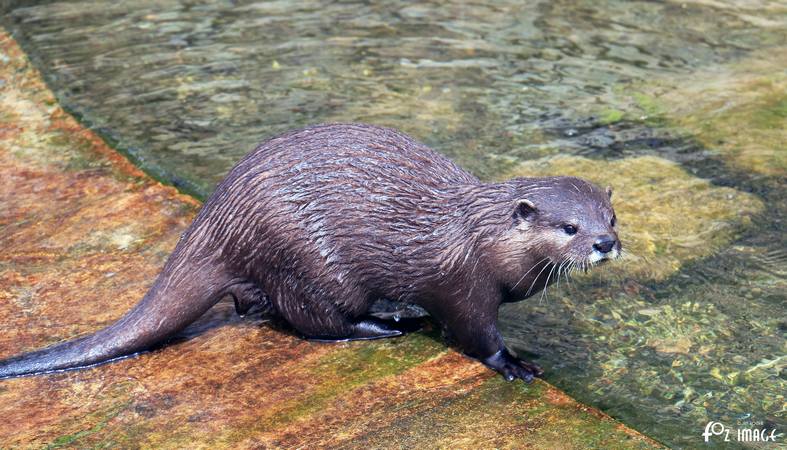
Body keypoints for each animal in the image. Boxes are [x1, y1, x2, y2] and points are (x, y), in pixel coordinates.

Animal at [0, 123, 620, 382]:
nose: (606, 243)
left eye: (610, 217)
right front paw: (515, 363)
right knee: (314, 319)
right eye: (569, 227)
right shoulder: (463, 284)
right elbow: (476, 334)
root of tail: (220, 218)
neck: (483, 241)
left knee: (255, 303)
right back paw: (386, 324)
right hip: (308, 257)